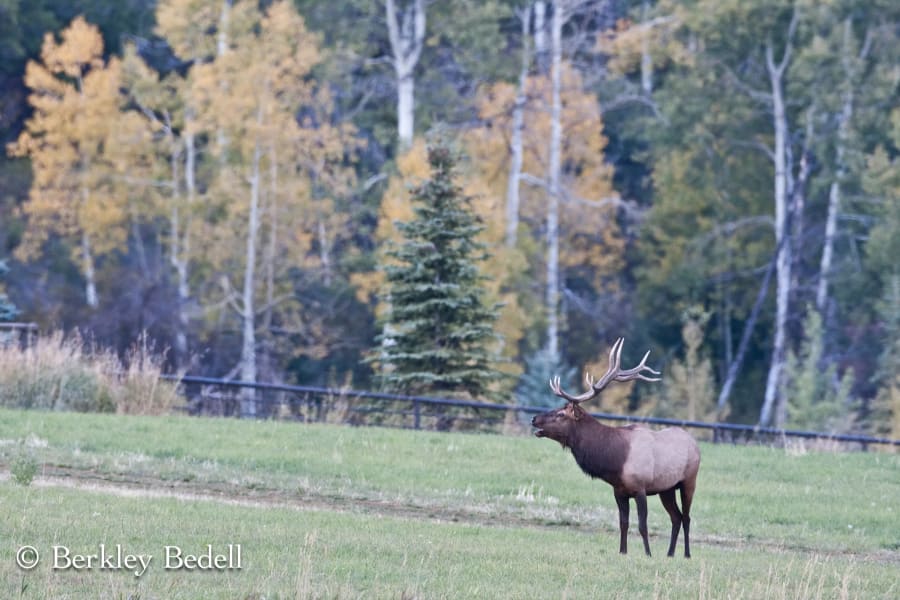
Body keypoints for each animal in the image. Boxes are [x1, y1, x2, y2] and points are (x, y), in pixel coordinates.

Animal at [532, 340, 700, 556]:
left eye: (561, 414)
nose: (534, 418)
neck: (616, 460)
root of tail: (695, 443)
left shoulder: (640, 488)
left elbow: (642, 525)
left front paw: (648, 554)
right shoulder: (619, 491)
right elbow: (623, 523)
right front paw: (623, 552)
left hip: (689, 481)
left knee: (686, 517)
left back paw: (686, 554)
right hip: (667, 489)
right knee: (676, 517)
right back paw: (670, 554)